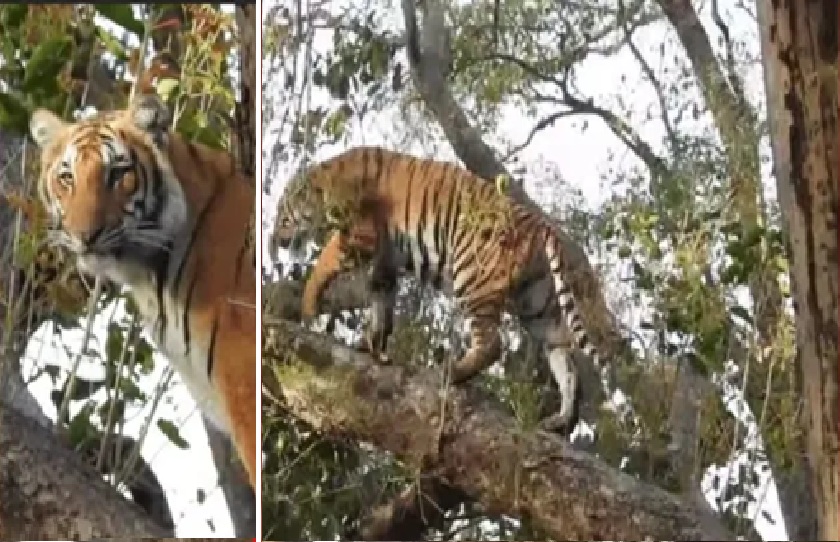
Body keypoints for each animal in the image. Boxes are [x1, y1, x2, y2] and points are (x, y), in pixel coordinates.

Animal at [271, 145, 616, 433]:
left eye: (281, 215)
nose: (275, 238)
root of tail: (538, 223)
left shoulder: (360, 234)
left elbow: (325, 260)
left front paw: (309, 302)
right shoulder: (385, 260)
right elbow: (381, 304)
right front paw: (371, 346)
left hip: (472, 277)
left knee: (493, 345)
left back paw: (451, 371)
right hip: (539, 305)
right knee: (566, 360)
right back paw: (561, 420)